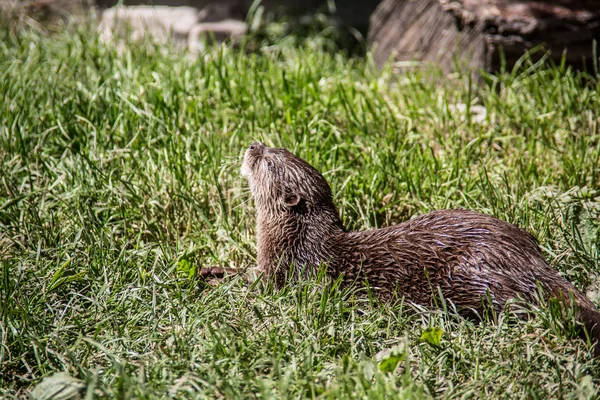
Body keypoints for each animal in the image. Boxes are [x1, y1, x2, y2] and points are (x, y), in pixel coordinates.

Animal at [239, 142, 600, 354]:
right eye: (277, 146)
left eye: (268, 162)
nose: (254, 144)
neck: (298, 240)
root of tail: (524, 253)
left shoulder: (282, 273)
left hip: (472, 274)